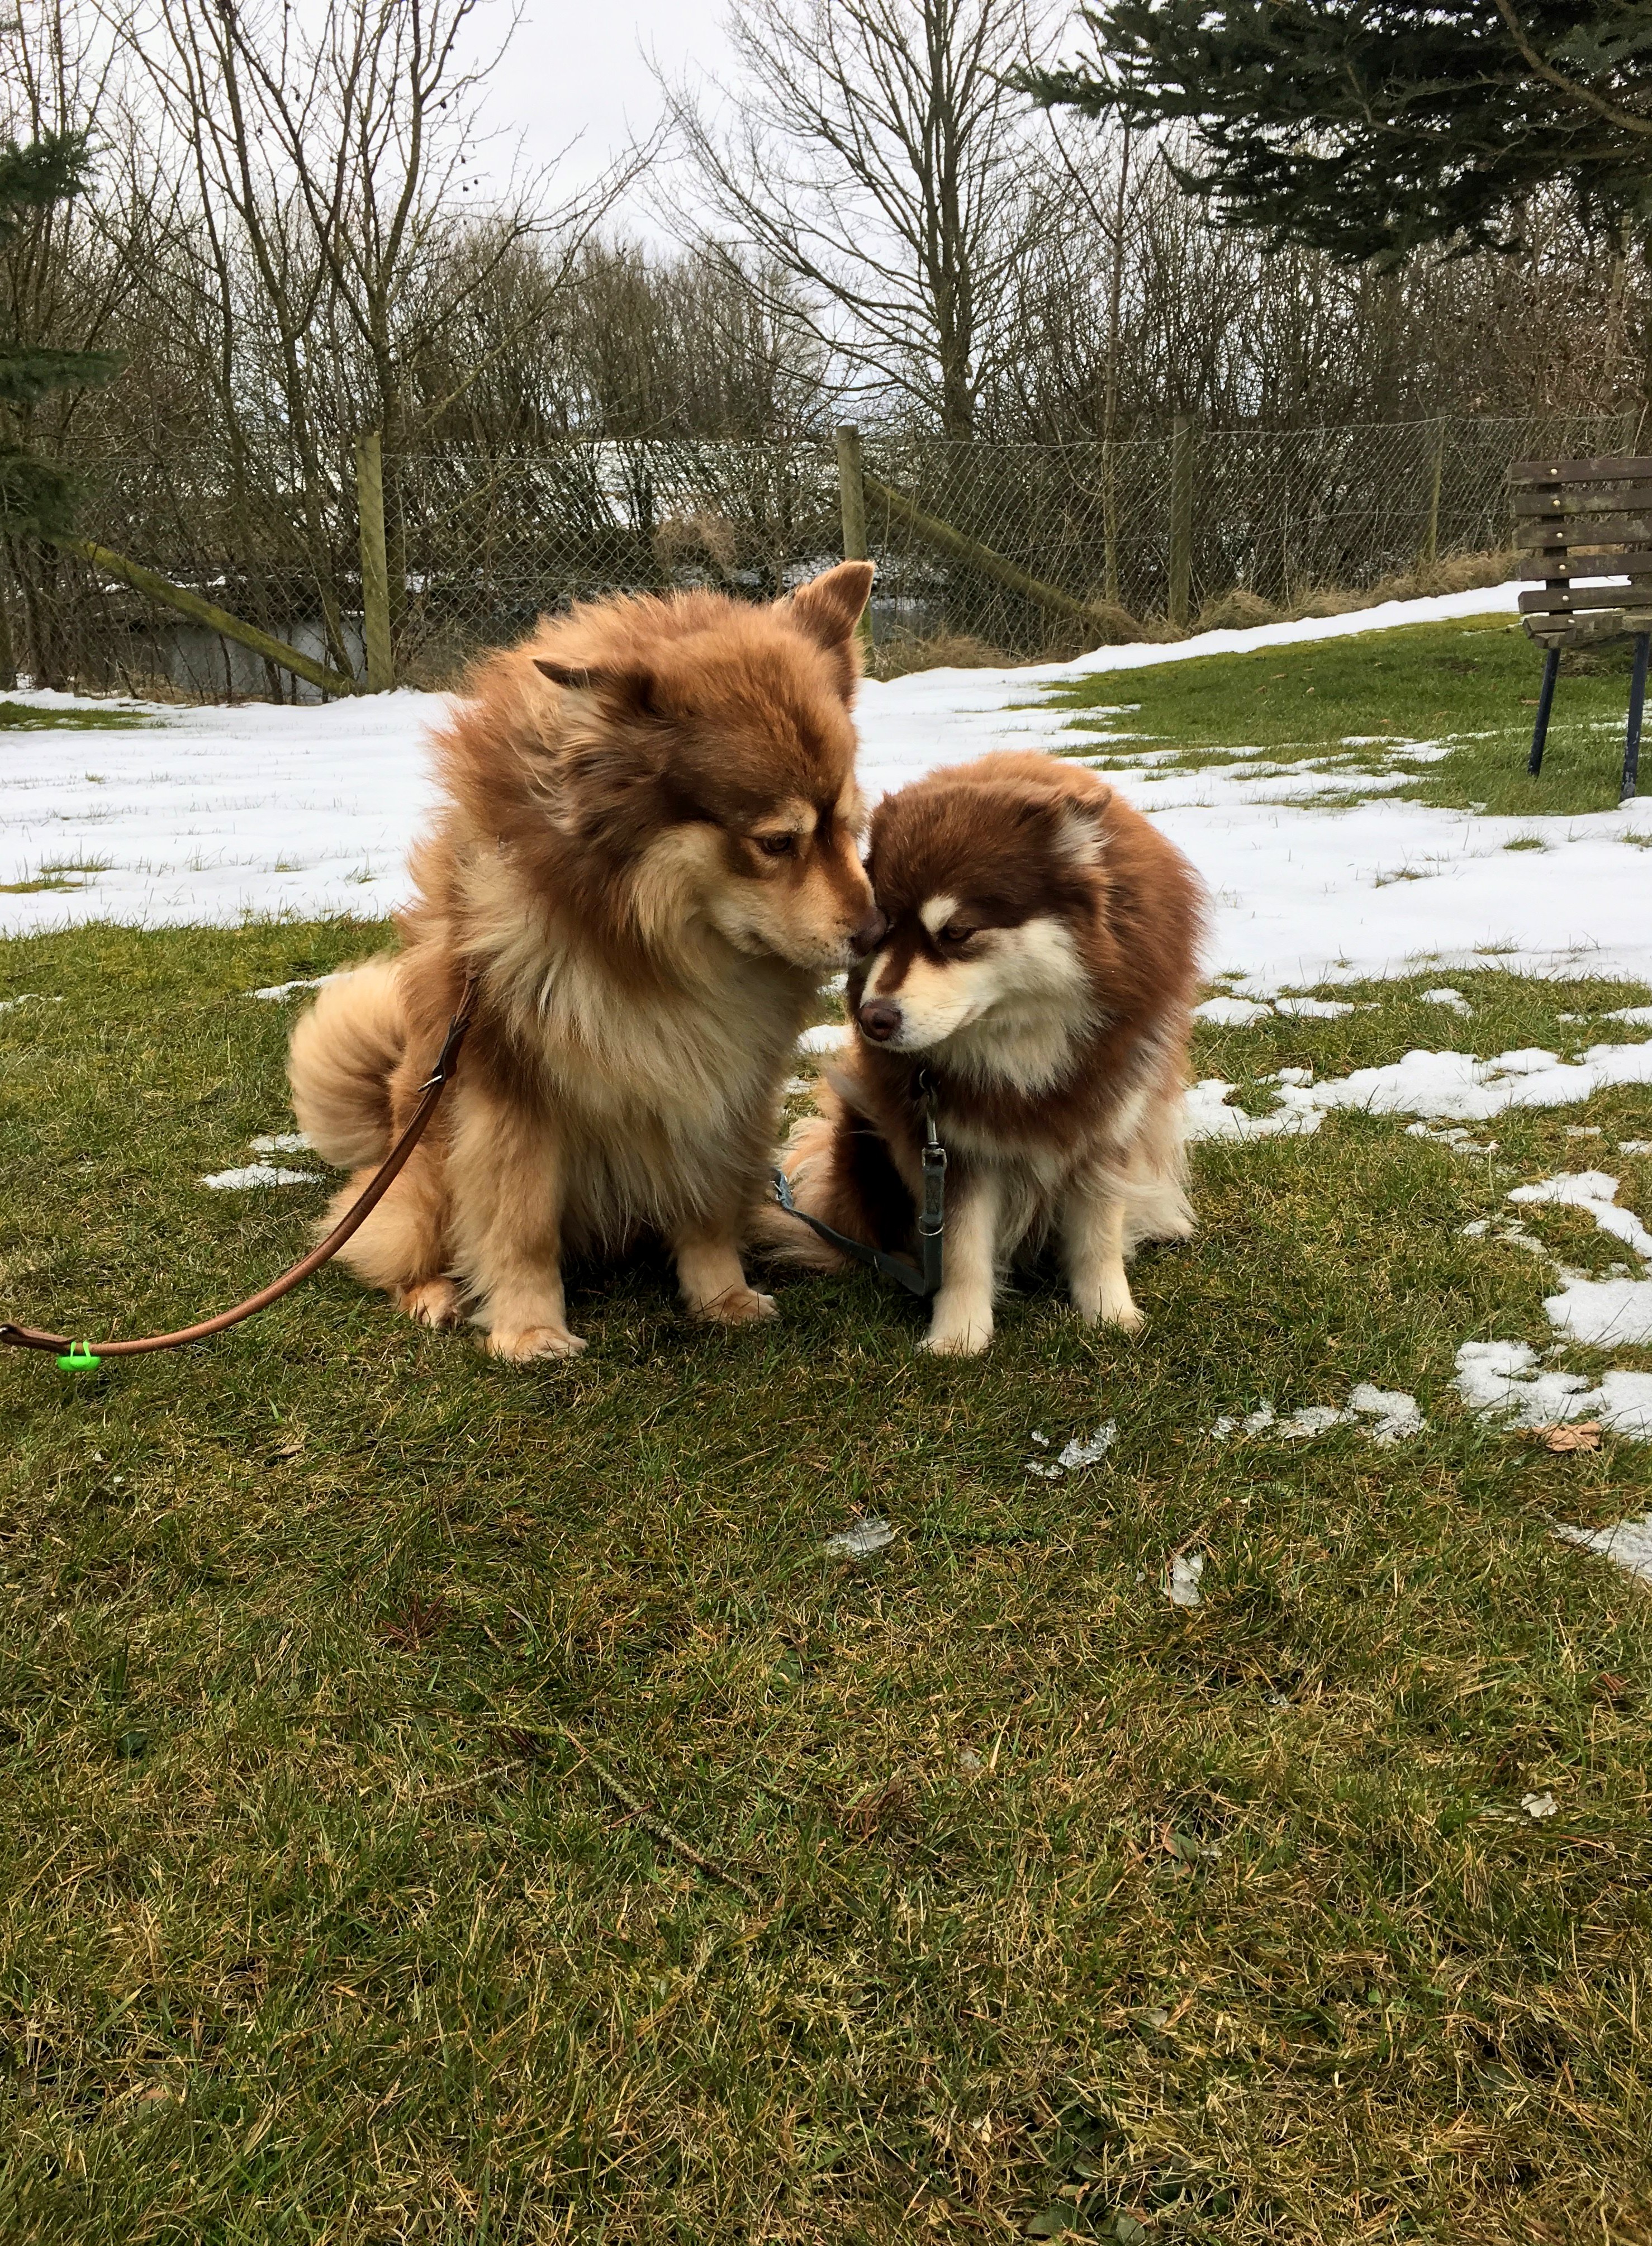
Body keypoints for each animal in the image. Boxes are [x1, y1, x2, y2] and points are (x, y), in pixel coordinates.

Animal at [287, 561, 880, 1365]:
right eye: (777, 842)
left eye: (848, 825)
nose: (878, 932)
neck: (652, 947)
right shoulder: (513, 1095)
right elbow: (521, 1226)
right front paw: (530, 1327)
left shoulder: (721, 1092)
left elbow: (707, 1210)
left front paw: (721, 1296)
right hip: (426, 1165)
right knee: (386, 1240)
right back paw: (433, 1292)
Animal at [763, 750, 1203, 1347]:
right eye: (881, 929)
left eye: (956, 933)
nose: (873, 1019)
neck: (1023, 1045)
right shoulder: (952, 1147)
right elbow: (962, 1249)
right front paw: (959, 1338)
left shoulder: (1105, 1120)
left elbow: (1098, 1236)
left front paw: (1110, 1315)